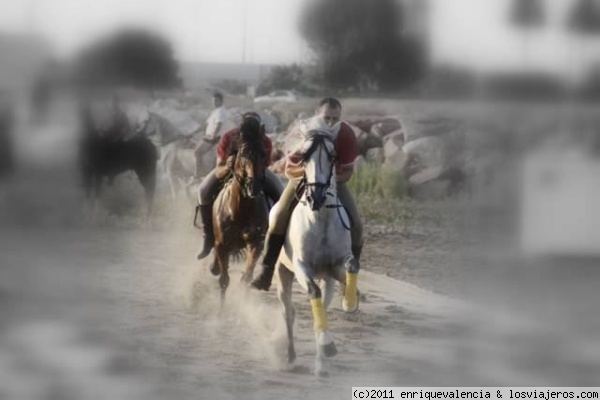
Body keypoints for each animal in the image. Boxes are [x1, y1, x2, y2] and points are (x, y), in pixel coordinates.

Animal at [210, 133, 268, 302]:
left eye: (263, 155)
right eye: (242, 155)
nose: (253, 186)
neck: (240, 209)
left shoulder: (255, 243)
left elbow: (246, 277)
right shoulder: (221, 244)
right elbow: (224, 280)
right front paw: (221, 309)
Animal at [274, 125, 358, 378]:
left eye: (333, 156)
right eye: (303, 157)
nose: (316, 197)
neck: (321, 220)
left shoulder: (335, 266)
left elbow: (352, 266)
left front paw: (350, 303)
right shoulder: (302, 266)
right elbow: (312, 292)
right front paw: (327, 345)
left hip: (326, 279)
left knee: (321, 306)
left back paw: (321, 364)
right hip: (282, 274)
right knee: (289, 312)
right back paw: (291, 357)